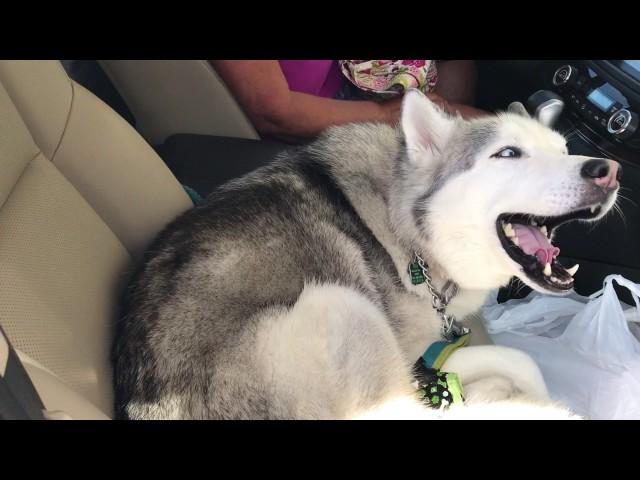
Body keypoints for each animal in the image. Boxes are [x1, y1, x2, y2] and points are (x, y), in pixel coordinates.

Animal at [114, 91, 620, 420]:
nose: (608, 170)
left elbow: (502, 359)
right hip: (340, 304)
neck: (410, 231)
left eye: (565, 150)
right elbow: (510, 363)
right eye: (509, 153)